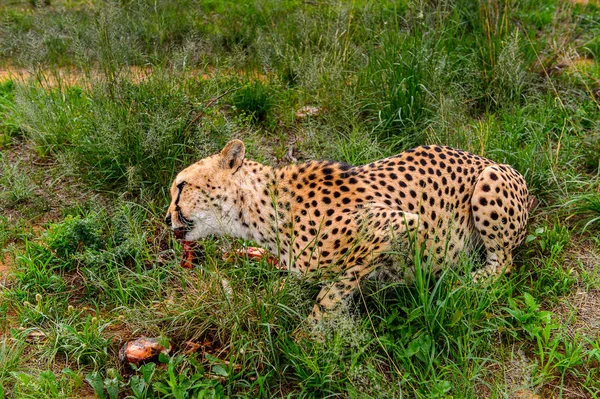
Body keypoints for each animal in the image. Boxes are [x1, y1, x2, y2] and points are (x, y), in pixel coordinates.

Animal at [164, 140, 528, 322]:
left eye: (181, 187)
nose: (167, 219)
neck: (262, 212)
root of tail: (487, 158)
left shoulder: (398, 224)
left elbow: (330, 295)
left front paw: (306, 339)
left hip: (490, 181)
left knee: (503, 263)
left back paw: (461, 283)